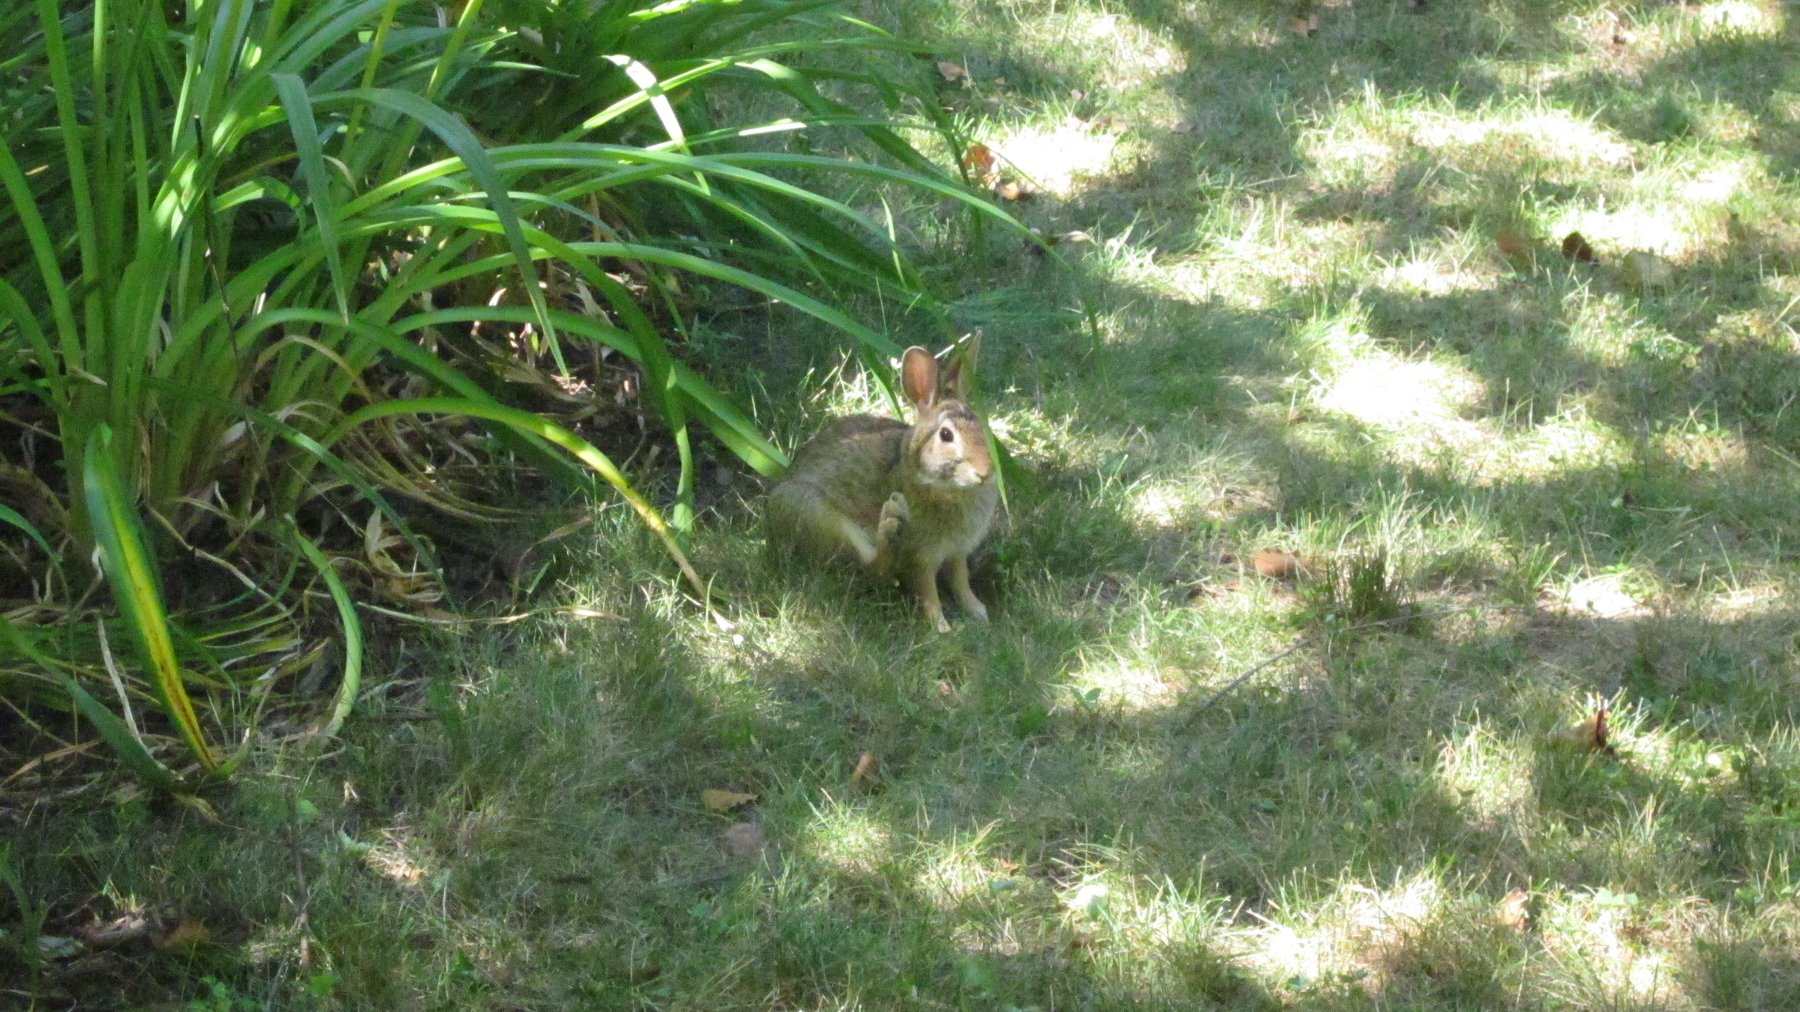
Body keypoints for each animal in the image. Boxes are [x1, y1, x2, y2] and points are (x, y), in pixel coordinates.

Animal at [767, 337, 999, 632]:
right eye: (946, 435)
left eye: (983, 429)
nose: (985, 472)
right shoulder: (921, 556)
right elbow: (928, 592)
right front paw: (941, 628)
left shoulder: (958, 551)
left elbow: (961, 580)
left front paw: (978, 611)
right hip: (814, 514)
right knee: (872, 570)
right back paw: (891, 522)